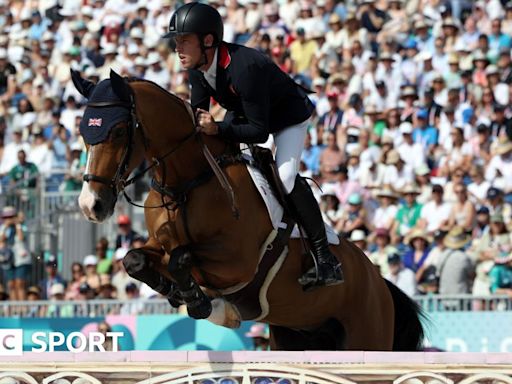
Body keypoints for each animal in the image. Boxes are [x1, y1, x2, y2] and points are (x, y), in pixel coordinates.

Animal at [73, 69, 424, 352]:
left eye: (119, 131)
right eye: (83, 132)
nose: (92, 206)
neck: (188, 182)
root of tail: (378, 281)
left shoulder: (238, 263)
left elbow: (181, 258)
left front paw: (204, 304)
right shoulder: (160, 244)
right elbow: (136, 260)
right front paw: (178, 294)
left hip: (367, 334)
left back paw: (325, 269)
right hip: (296, 338)